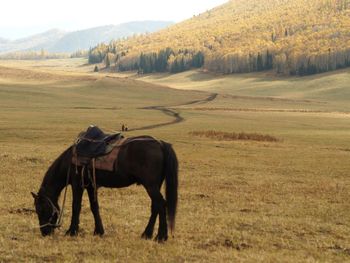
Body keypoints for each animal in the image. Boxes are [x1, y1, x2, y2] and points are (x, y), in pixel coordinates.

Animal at [30, 138, 178, 243]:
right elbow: (94, 207)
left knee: (161, 204)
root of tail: (160, 143)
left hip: (151, 186)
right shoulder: (91, 186)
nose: (45, 232)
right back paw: (147, 234)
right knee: (156, 207)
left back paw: (161, 237)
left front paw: (72, 231)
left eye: (41, 209)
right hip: (154, 186)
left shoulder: (77, 184)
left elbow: (76, 206)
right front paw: (99, 231)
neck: (70, 159)